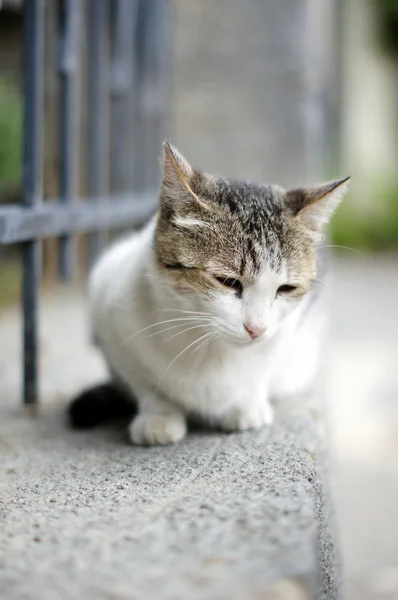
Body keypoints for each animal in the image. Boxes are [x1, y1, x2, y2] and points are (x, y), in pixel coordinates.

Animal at [69, 142, 348, 446]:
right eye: (227, 281)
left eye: (286, 288)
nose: (257, 329)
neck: (209, 346)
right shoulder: (112, 318)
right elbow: (146, 383)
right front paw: (160, 415)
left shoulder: (288, 332)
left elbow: (263, 371)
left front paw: (246, 406)